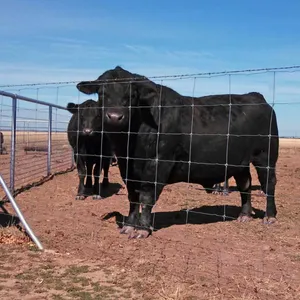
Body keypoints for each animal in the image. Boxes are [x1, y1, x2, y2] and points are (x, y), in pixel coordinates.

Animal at [77, 65, 278, 239]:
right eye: (102, 93)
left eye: (132, 95)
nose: (115, 116)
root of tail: (255, 96)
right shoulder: (126, 166)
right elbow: (133, 197)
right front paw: (129, 226)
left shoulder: (158, 163)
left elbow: (146, 196)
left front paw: (142, 229)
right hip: (240, 161)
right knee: (245, 183)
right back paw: (245, 215)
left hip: (265, 156)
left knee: (268, 184)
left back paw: (270, 216)